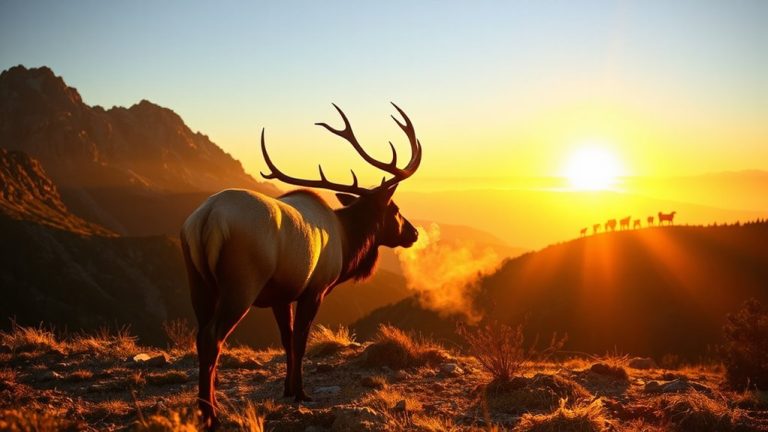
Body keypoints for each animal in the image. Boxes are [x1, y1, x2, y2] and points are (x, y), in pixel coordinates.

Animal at [180, 103, 422, 427]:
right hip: (241, 283)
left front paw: (287, 388)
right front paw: (301, 392)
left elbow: (286, 339)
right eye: (394, 210)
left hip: (199, 283)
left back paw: (206, 406)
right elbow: (301, 340)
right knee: (211, 337)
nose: (414, 233)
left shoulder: (280, 295)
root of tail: (206, 219)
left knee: (200, 335)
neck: (347, 243)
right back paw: (210, 414)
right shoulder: (315, 289)